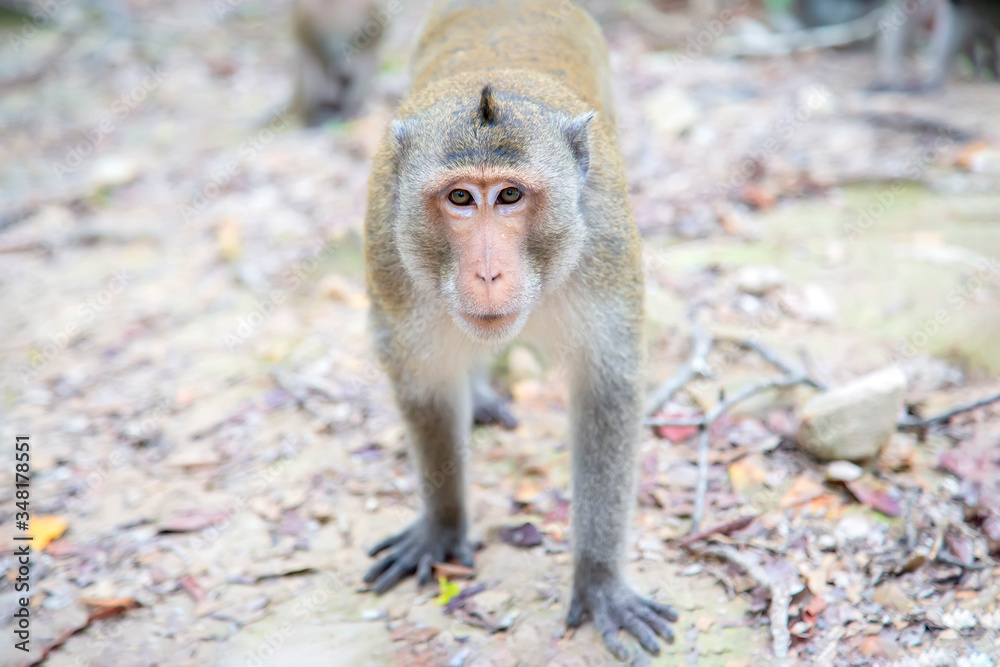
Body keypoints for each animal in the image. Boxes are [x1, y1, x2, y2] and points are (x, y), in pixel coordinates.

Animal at [361, 0, 677, 659]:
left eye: (509, 195)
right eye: (460, 198)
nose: (487, 272)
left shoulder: (604, 241)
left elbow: (606, 394)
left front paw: (600, 580)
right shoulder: (389, 251)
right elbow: (427, 387)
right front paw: (442, 526)